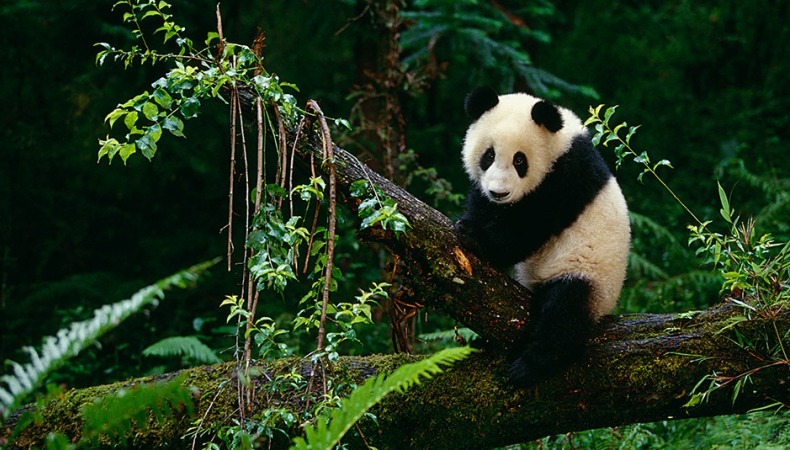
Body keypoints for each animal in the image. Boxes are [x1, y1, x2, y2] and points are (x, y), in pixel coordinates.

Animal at [455, 86, 631, 386]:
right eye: (488, 156)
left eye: (519, 160)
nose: (499, 193)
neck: (560, 144)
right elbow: (483, 207)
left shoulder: (565, 177)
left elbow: (529, 229)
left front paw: (474, 237)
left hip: (590, 273)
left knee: (564, 312)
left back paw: (530, 365)